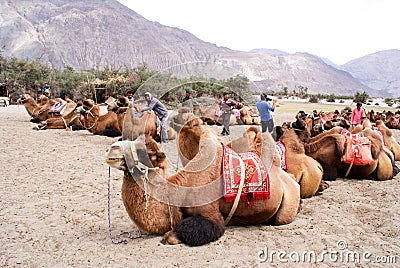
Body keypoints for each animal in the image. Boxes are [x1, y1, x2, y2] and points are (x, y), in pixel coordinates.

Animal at [106, 116, 300, 246]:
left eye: (143, 151)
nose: (112, 148)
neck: (179, 191)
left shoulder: (211, 215)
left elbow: (190, 230)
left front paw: (170, 236)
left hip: (286, 209)